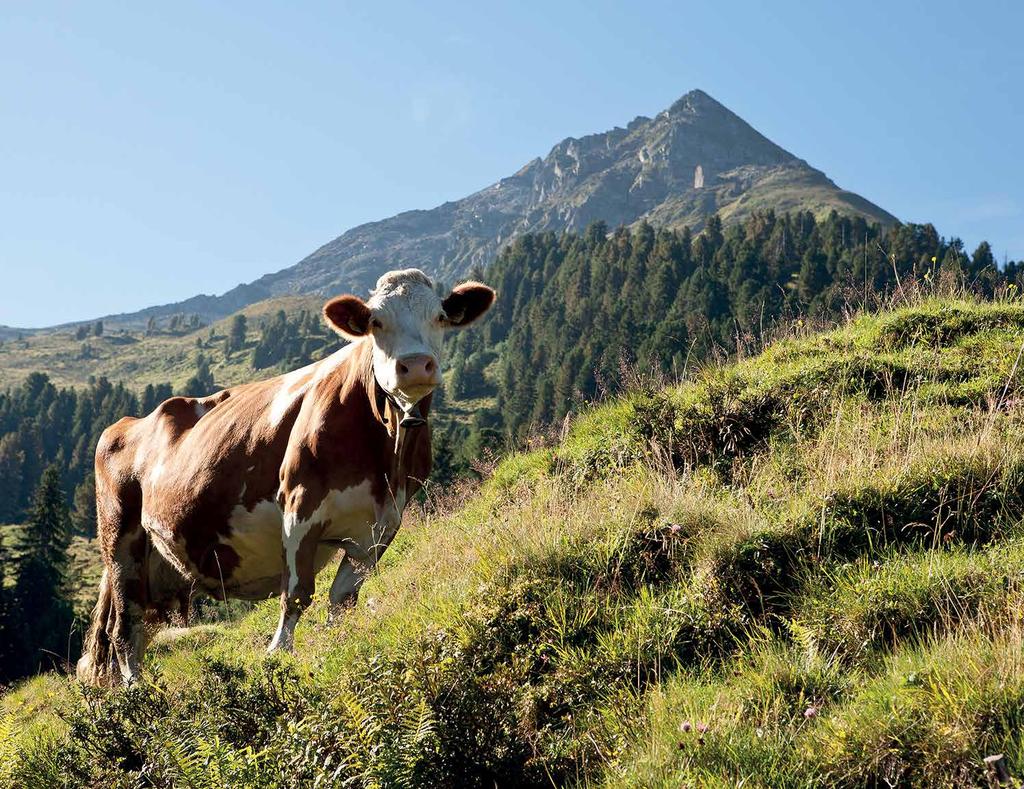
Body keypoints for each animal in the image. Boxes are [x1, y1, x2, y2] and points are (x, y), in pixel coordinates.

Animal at [75, 270, 495, 683]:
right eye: (376, 322)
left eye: (440, 317)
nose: (416, 364)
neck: (384, 450)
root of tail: (128, 423)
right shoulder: (300, 503)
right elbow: (296, 593)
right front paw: (278, 654)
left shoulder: (382, 523)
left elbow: (343, 599)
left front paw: (337, 646)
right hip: (120, 540)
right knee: (124, 626)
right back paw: (137, 690)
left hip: (158, 561)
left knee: (139, 626)